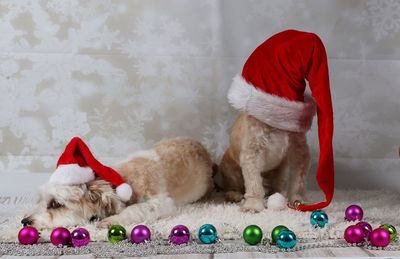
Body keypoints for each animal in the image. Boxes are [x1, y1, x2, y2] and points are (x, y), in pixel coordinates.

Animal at [21, 137, 216, 229]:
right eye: (39, 201)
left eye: (55, 204)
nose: (24, 221)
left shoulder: (163, 203)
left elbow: (136, 209)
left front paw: (110, 221)